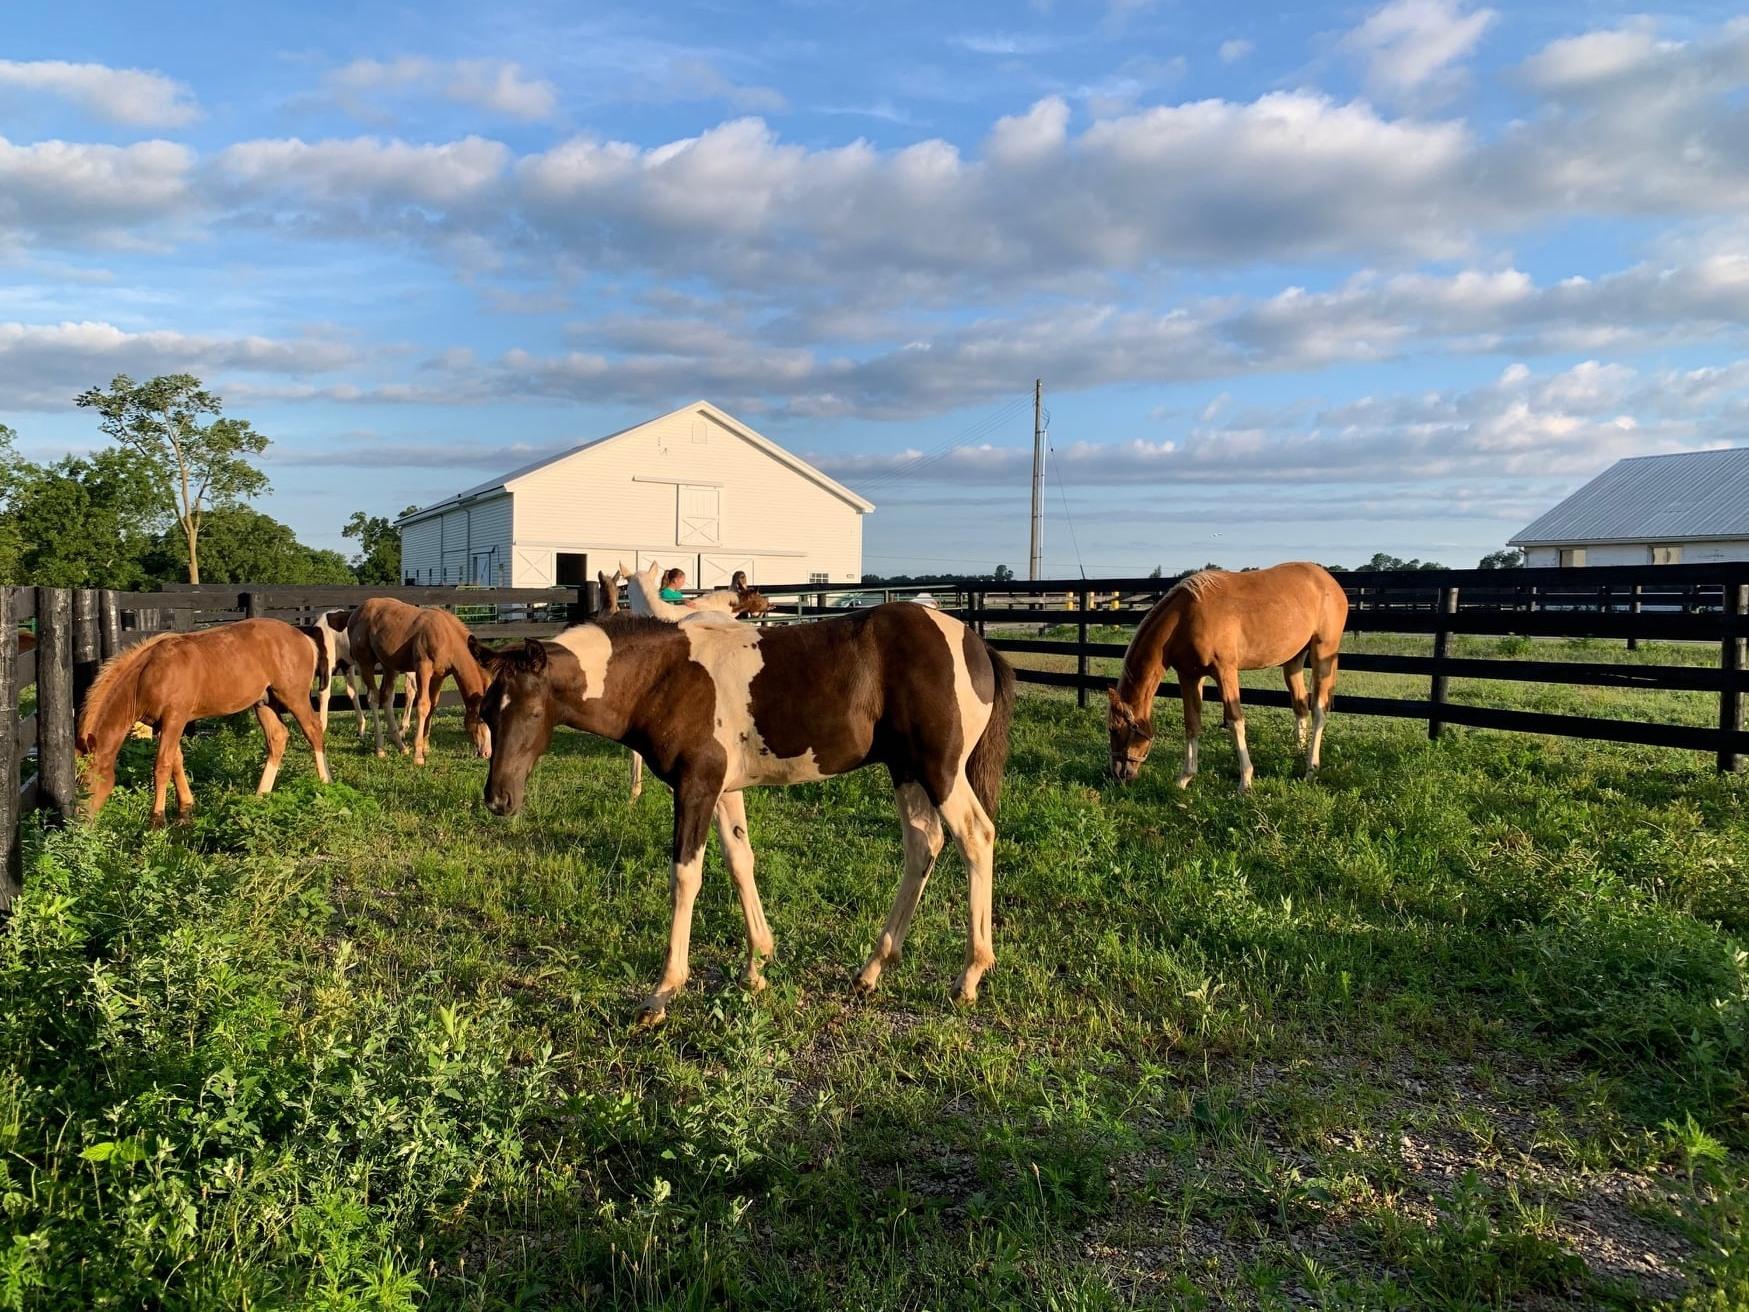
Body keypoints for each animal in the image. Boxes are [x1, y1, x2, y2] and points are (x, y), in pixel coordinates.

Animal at [73, 615, 330, 822]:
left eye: (87, 782)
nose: (80, 823)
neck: (147, 675)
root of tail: (304, 638)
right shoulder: (162, 725)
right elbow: (176, 761)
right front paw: (185, 808)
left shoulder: (175, 719)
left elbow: (162, 766)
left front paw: (157, 819)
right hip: (265, 703)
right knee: (278, 738)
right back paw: (260, 795)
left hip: (293, 697)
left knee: (314, 730)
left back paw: (325, 783)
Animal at [346, 601, 493, 766]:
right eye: (481, 718)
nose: (487, 753)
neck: (447, 637)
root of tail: (356, 612)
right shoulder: (423, 669)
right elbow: (423, 705)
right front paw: (418, 754)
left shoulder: (438, 676)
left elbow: (433, 705)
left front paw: (426, 747)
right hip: (365, 662)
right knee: (374, 698)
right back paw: (380, 748)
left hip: (389, 666)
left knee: (387, 699)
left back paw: (401, 747)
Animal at [472, 605, 1021, 1028]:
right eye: (487, 713)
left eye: (533, 713)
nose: (499, 800)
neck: (666, 677)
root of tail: (976, 645)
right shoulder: (723, 790)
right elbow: (740, 861)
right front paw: (756, 966)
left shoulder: (696, 786)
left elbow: (686, 876)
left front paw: (662, 993)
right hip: (905, 770)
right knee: (923, 846)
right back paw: (872, 970)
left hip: (940, 771)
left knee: (976, 836)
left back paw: (970, 976)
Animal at [1105, 563, 1350, 790]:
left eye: (1114, 729)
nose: (1118, 774)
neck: (1185, 617)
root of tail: (1329, 582)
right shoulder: (1189, 676)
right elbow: (1191, 723)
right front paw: (1184, 779)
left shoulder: (1225, 671)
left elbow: (1235, 721)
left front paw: (1245, 781)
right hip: (1293, 661)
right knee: (1300, 706)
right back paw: (1297, 754)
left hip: (1323, 653)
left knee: (1318, 709)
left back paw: (1311, 768)